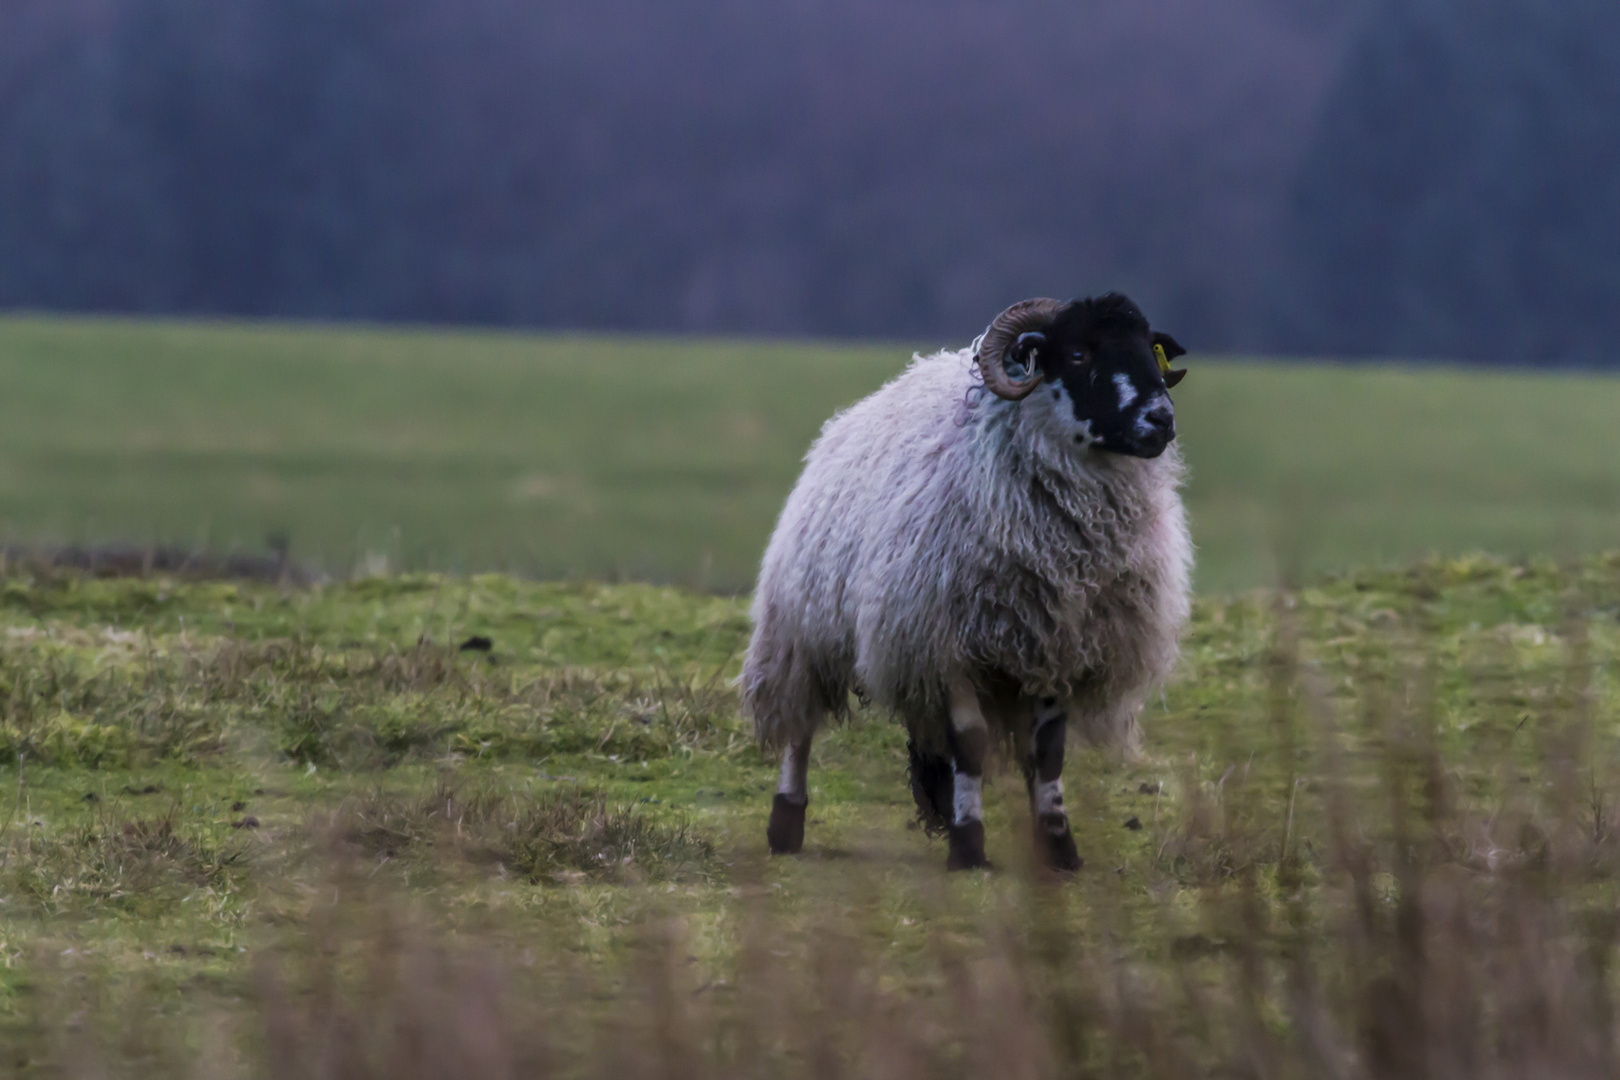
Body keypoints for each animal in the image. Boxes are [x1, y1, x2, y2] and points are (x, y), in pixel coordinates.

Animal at [741, 293, 1192, 867]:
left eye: (1148, 349)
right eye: (1078, 354)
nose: (1160, 418)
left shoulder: (1056, 647)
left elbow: (1048, 753)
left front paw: (1057, 845)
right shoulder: (949, 645)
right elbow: (972, 743)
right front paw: (969, 845)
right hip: (805, 629)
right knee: (799, 726)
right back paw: (786, 822)